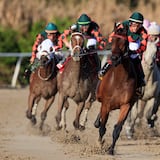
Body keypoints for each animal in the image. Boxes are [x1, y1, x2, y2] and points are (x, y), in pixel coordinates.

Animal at [95, 25, 138, 155]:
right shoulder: (106, 104)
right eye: (112, 40)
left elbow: (117, 128)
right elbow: (102, 127)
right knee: (100, 122)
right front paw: (100, 144)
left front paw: (110, 149)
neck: (119, 80)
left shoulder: (126, 105)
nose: (114, 58)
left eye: (124, 42)